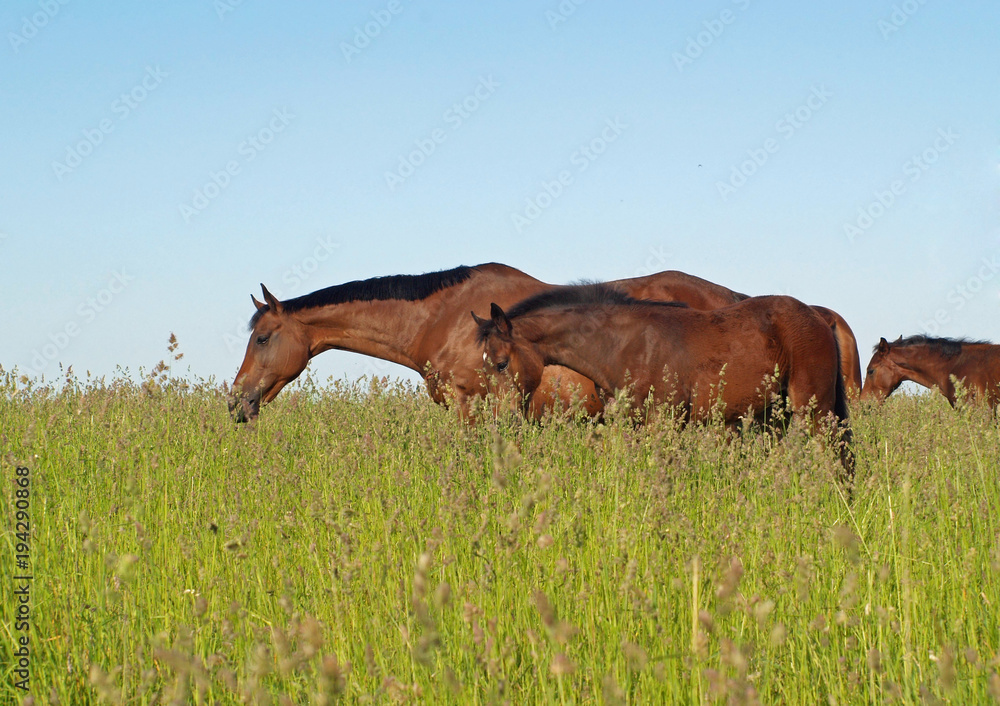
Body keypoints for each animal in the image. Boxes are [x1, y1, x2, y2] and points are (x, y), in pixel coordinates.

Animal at [473, 284, 852, 467]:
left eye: (501, 364)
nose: (500, 421)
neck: (624, 343)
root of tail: (818, 317)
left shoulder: (663, 421)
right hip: (775, 415)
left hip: (815, 409)